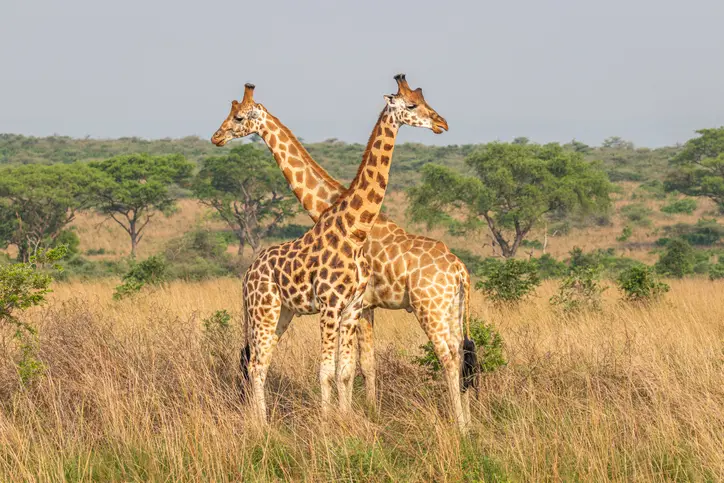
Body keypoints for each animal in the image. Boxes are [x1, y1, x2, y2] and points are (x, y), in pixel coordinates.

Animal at [211, 75, 450, 423]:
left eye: (239, 118)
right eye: (412, 105)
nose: (441, 122)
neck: (350, 226)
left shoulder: (352, 307)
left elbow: (346, 370)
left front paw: (346, 419)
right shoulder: (339, 307)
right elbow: (339, 370)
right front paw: (336, 421)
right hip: (267, 310)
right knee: (255, 364)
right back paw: (261, 424)